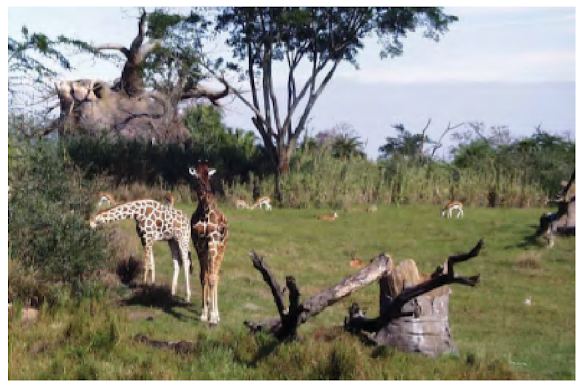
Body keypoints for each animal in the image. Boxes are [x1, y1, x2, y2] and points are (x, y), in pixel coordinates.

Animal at [189, 162, 230, 326]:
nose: (206, 194)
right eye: (197, 177)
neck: (204, 211)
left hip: (221, 248)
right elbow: (203, 277)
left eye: (209, 176)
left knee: (216, 275)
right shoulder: (199, 244)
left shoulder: (212, 241)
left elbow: (212, 278)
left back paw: (217, 314)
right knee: (210, 273)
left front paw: (212, 317)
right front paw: (203, 313)